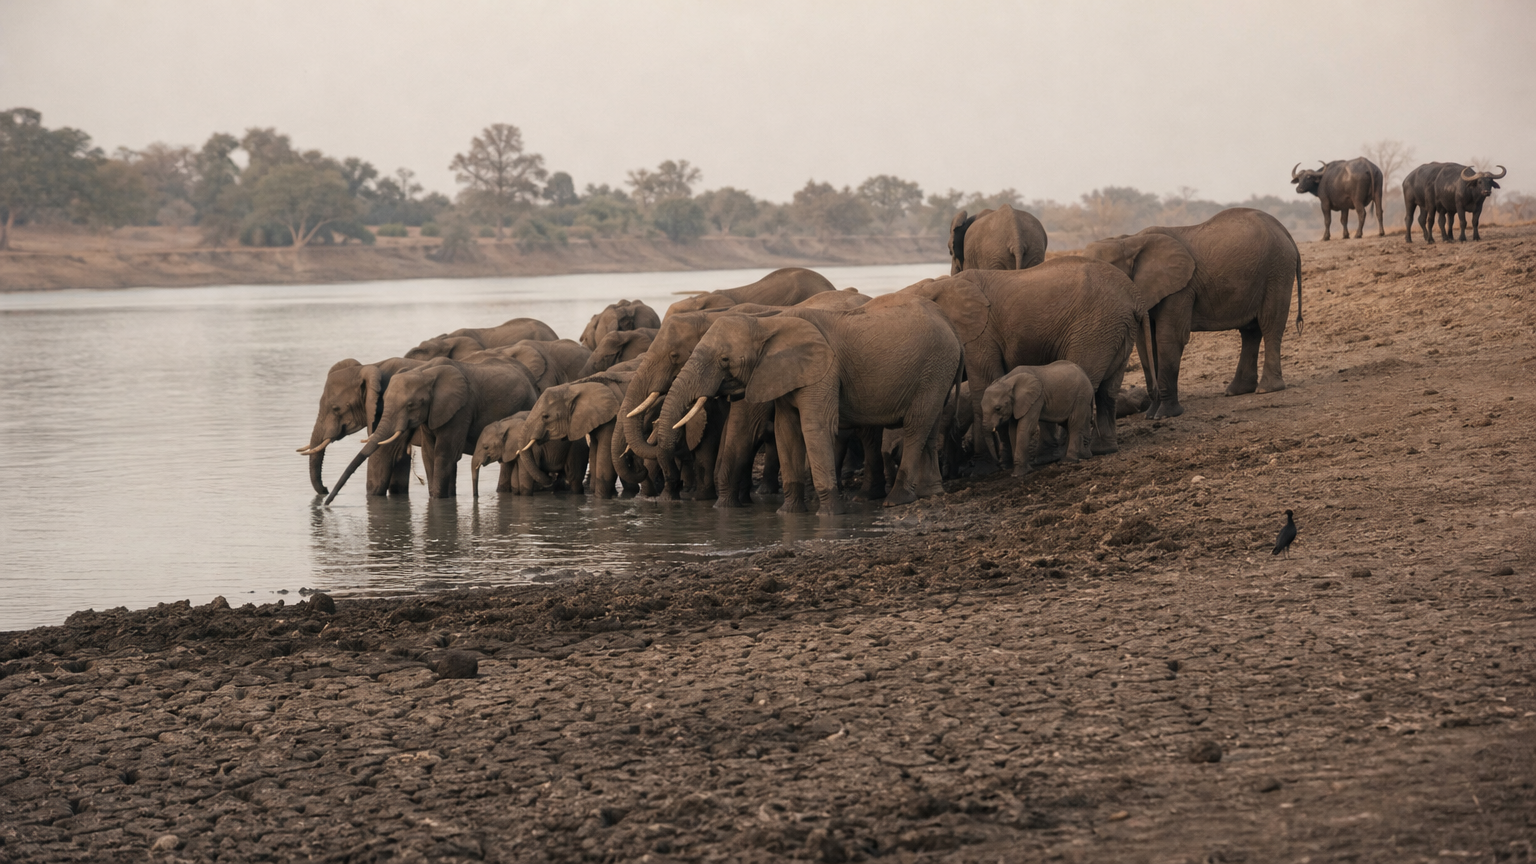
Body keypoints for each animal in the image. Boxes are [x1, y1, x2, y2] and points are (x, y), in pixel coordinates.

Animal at [325, 357, 542, 502]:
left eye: (411, 405)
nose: (327, 500)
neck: (426, 373)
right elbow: (429, 453)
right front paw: (439, 496)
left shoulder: (461, 409)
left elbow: (444, 453)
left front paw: (438, 500)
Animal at [651, 292, 963, 515]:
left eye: (725, 360)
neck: (769, 321)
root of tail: (950, 324)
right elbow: (786, 431)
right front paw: (788, 512)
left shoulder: (824, 370)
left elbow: (815, 427)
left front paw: (829, 514)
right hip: (939, 371)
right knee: (929, 427)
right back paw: (930, 493)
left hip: (935, 367)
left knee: (915, 427)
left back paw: (896, 501)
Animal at [902, 258, 1157, 458]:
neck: (938, 284)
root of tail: (1135, 296)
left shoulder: (980, 334)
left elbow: (984, 385)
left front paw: (994, 463)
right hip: (1117, 329)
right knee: (1108, 390)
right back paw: (1102, 450)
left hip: (1096, 328)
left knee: (1086, 383)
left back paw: (1066, 454)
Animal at [1080, 207, 1302, 420]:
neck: (1128, 241)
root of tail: (1285, 231)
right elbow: (1145, 343)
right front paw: (1151, 415)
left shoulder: (1181, 289)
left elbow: (1168, 338)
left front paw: (1165, 415)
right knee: (1250, 331)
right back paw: (1237, 391)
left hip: (1277, 271)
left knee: (1270, 324)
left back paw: (1266, 389)